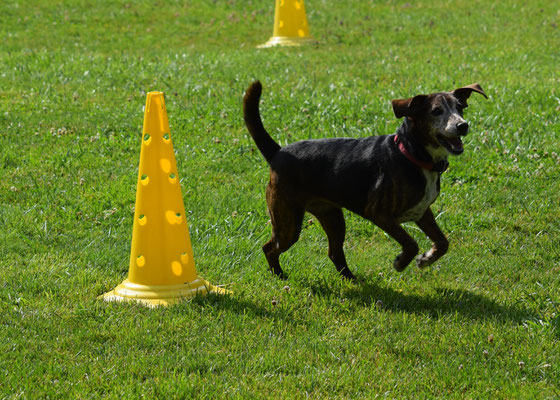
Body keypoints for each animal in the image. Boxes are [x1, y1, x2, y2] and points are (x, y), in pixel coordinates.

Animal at [244, 80, 486, 282]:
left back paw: (351, 278)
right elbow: (411, 243)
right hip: (288, 221)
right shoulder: (379, 213)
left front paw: (427, 259)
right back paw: (279, 275)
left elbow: (443, 242)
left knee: (334, 252)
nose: (463, 125)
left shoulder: (422, 211)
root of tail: (278, 152)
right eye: (436, 111)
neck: (412, 153)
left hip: (332, 217)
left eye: (460, 108)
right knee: (269, 248)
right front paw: (401, 262)